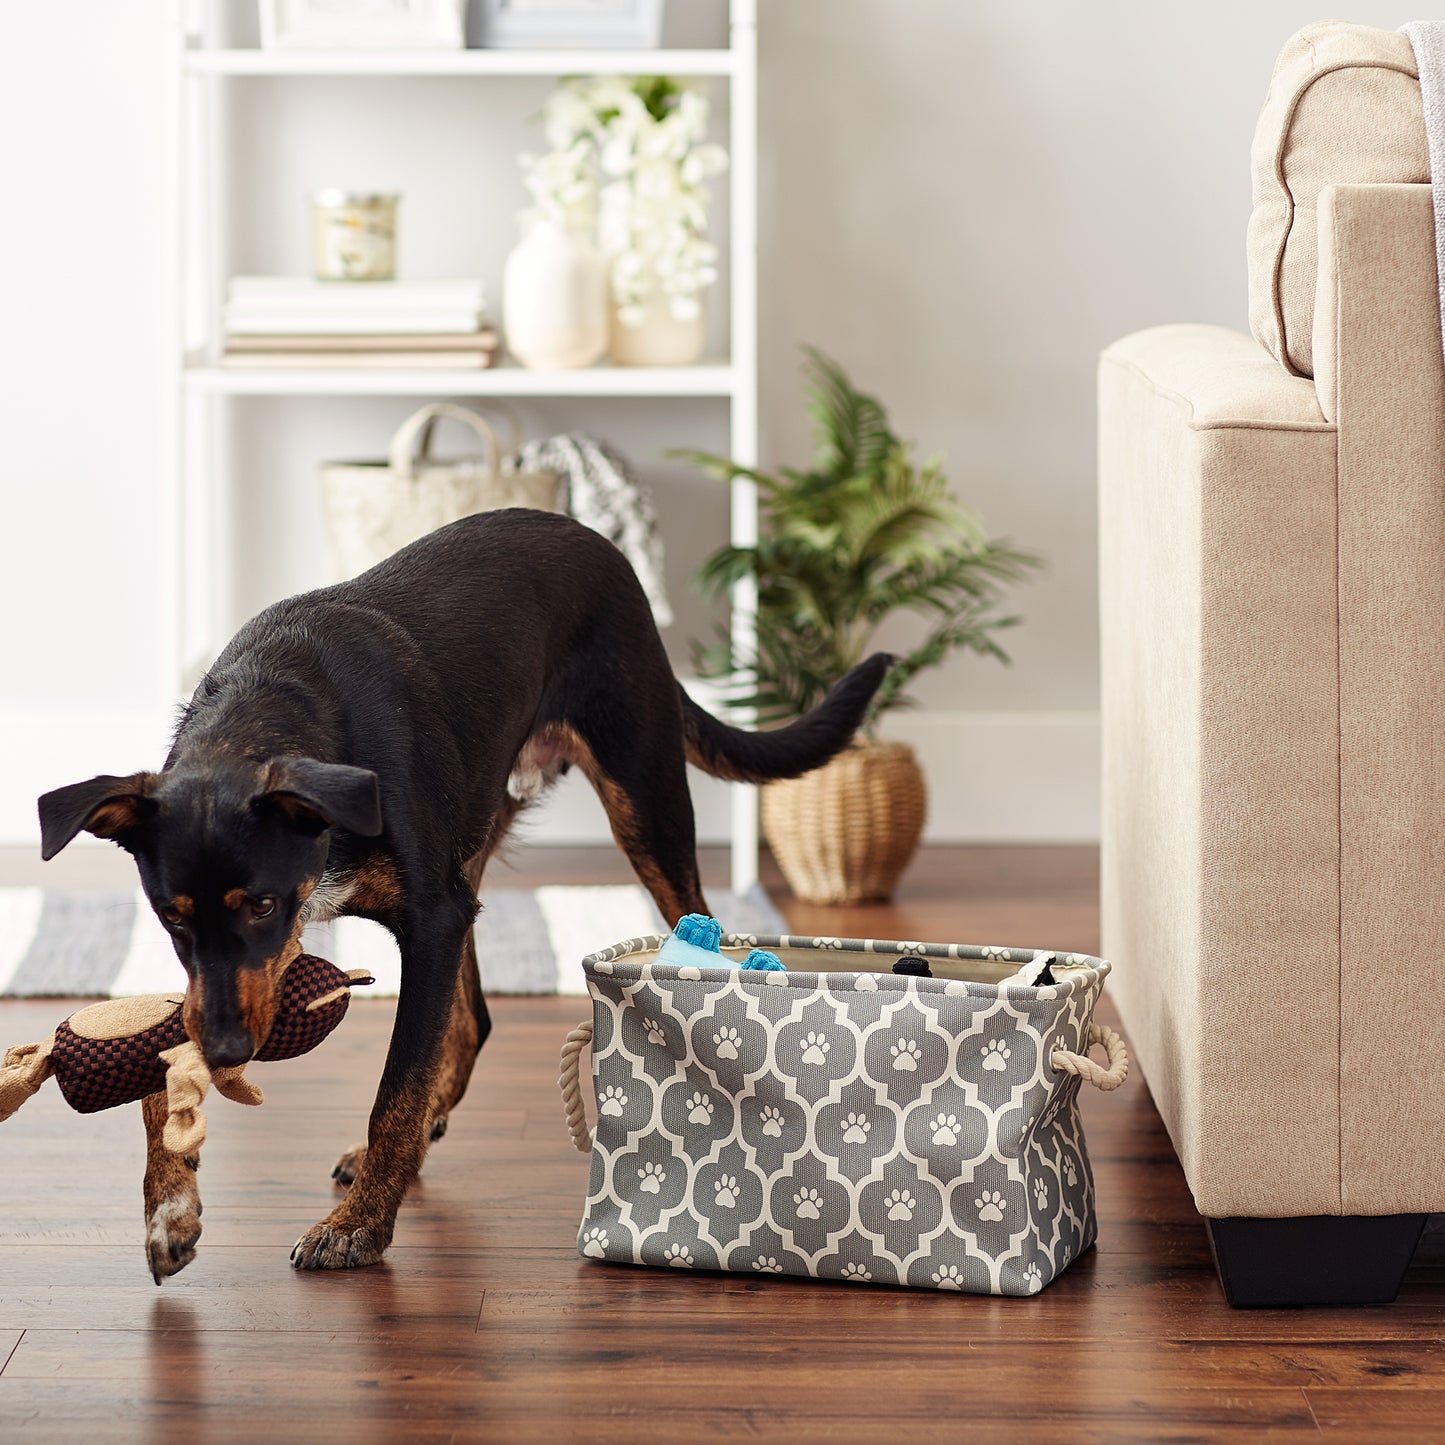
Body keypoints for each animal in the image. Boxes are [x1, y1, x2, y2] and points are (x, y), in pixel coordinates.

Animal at [36, 508, 890, 1277]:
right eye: (168, 918)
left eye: (264, 904)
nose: (226, 1051)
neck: (265, 714)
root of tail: (593, 539)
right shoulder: (262, 964)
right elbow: (168, 1066)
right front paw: (170, 1207)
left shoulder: (425, 920)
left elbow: (396, 1086)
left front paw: (358, 1226)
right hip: (476, 840)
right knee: (472, 1015)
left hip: (640, 799)